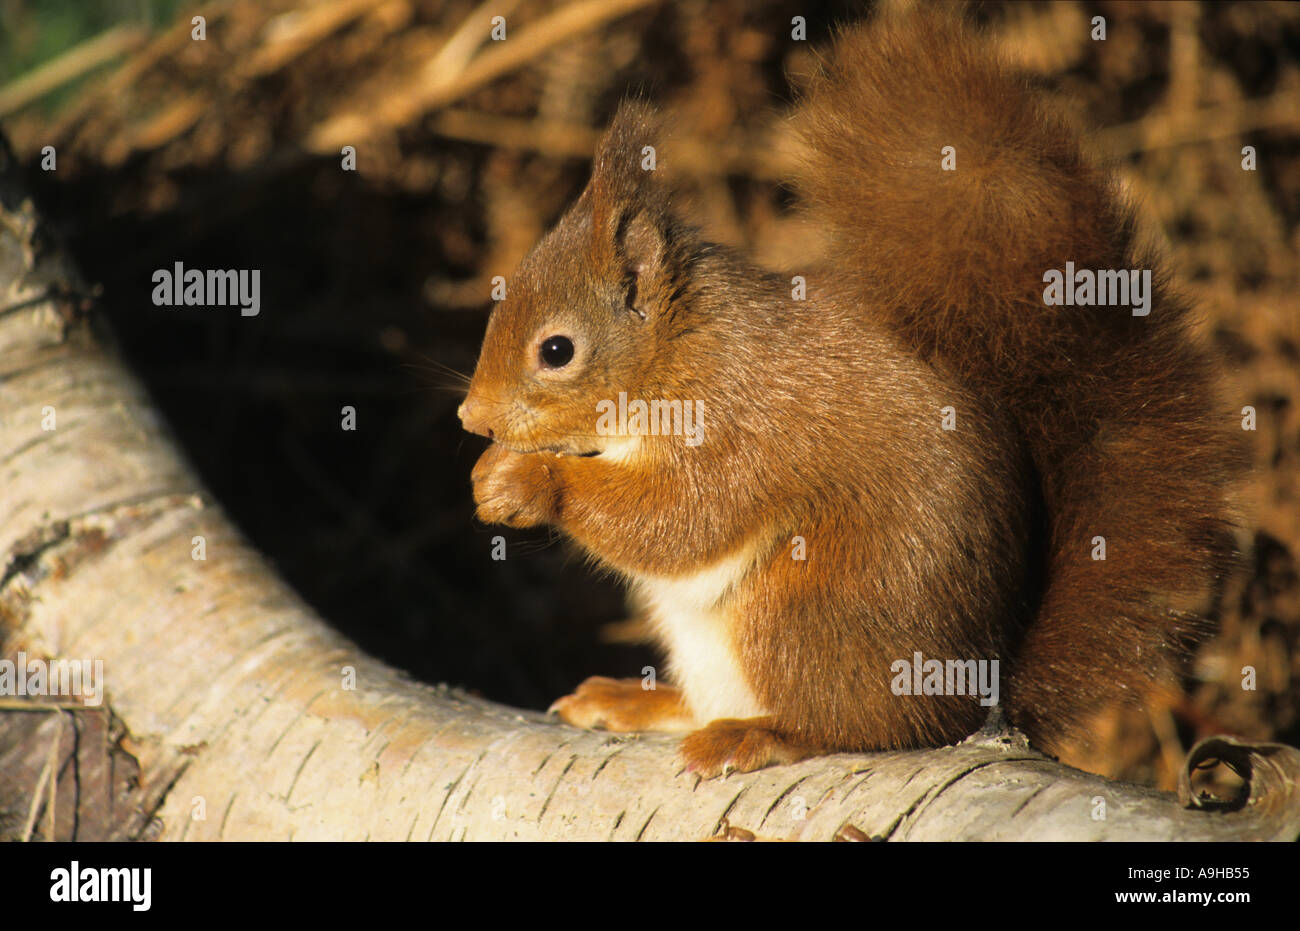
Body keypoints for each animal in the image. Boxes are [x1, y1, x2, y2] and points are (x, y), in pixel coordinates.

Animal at [456, 10, 1243, 778]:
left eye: (556, 351)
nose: (471, 419)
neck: (679, 352)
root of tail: (974, 695)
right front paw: (489, 474)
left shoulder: (739, 422)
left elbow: (679, 519)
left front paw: (527, 479)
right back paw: (635, 701)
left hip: (802, 612)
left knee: (861, 726)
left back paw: (761, 735)